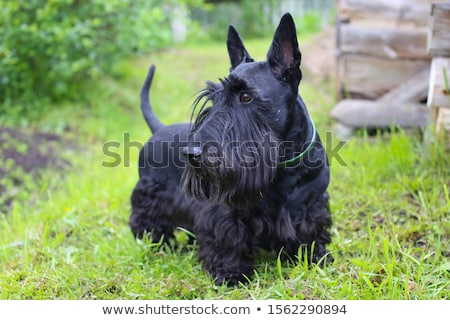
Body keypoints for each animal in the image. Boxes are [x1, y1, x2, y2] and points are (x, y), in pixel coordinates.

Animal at [128, 13, 332, 286]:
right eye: (214, 98)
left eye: (245, 96)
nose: (191, 153)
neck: (282, 167)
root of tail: (158, 128)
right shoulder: (224, 211)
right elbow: (228, 238)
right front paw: (230, 273)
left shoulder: (310, 206)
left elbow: (311, 232)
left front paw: (314, 257)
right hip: (150, 194)